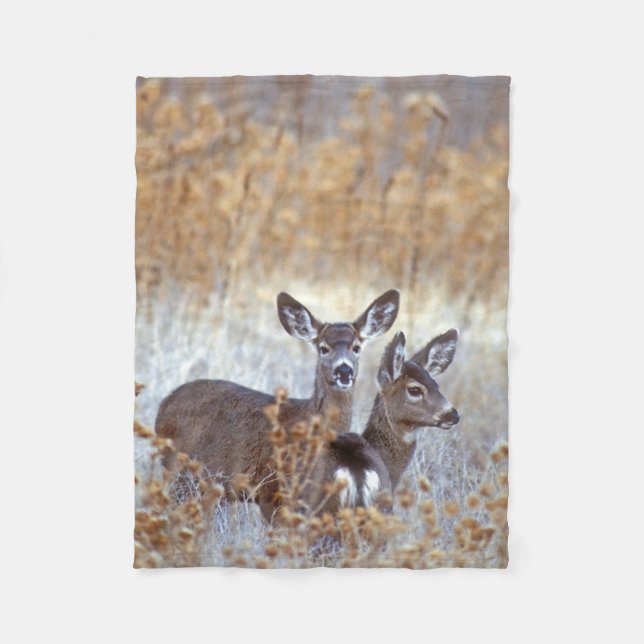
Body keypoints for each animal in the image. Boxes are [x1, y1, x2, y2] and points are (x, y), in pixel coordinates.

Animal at [155, 289, 400, 519]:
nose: (344, 370)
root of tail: (165, 403)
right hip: (180, 471)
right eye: (323, 347)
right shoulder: (272, 492)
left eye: (356, 347)